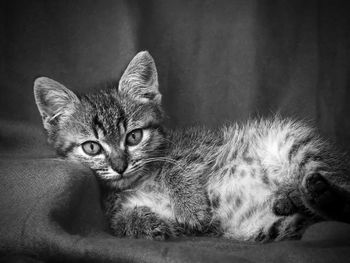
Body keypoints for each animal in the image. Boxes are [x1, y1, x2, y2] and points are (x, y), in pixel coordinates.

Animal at [34, 50, 350, 242]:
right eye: (92, 148)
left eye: (134, 137)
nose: (120, 166)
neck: (139, 181)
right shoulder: (115, 209)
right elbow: (121, 222)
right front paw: (150, 224)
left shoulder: (201, 146)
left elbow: (178, 168)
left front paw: (190, 208)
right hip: (266, 225)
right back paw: (298, 198)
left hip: (292, 142)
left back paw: (310, 191)